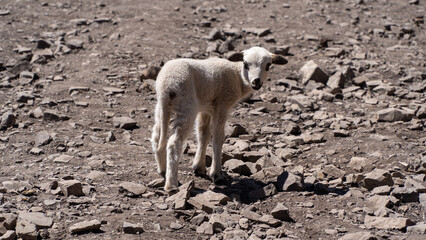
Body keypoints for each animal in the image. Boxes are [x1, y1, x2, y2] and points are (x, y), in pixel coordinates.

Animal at [151, 47, 288, 193]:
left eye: (268, 65)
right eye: (245, 64)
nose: (256, 82)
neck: (237, 76)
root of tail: (166, 86)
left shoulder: (206, 107)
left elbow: (203, 134)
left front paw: (199, 167)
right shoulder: (222, 105)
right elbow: (218, 138)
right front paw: (216, 174)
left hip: (162, 108)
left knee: (157, 136)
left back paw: (163, 169)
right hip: (187, 105)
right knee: (173, 142)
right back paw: (171, 185)